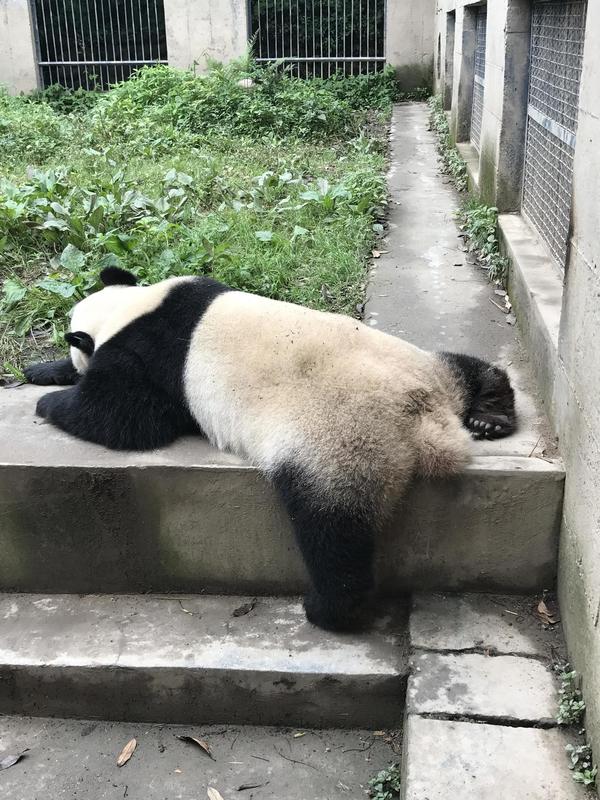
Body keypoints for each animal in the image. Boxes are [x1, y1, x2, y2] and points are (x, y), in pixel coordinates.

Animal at [25, 268, 516, 632]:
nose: (67, 364)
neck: (131, 309)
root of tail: (426, 420)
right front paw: (41, 371)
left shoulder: (148, 356)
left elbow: (123, 418)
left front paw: (51, 402)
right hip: (420, 365)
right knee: (466, 367)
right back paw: (489, 415)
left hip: (338, 441)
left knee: (332, 529)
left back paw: (327, 608)